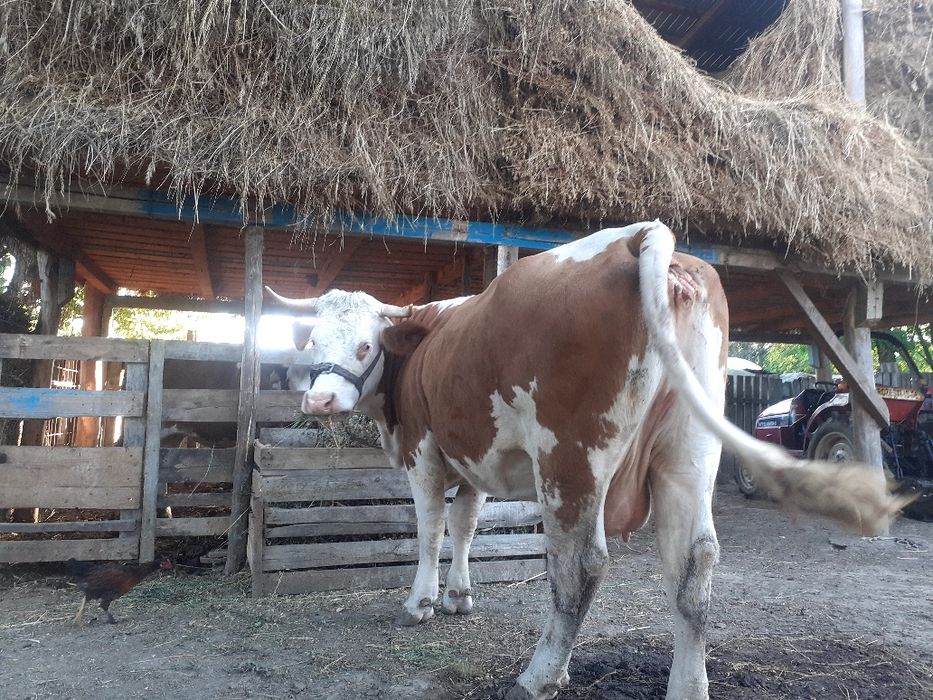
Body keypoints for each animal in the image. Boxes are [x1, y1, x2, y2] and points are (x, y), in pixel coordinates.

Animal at [267, 221, 905, 700]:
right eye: (312, 342)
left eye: (364, 345)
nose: (319, 401)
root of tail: (638, 234)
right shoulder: (475, 458)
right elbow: (466, 526)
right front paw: (459, 597)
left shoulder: (425, 451)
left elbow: (429, 529)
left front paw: (420, 603)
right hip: (688, 453)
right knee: (695, 563)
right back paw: (687, 686)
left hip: (570, 459)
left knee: (580, 566)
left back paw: (540, 675)